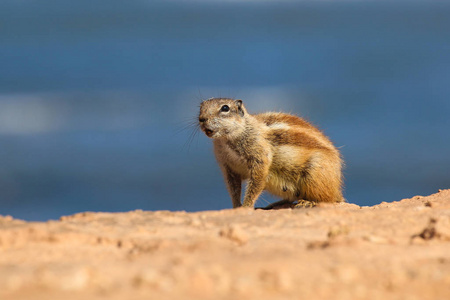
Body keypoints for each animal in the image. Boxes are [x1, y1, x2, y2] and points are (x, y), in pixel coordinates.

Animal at [199, 98, 342, 209]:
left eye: (225, 108)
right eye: (201, 106)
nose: (201, 119)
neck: (226, 140)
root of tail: (337, 189)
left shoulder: (259, 156)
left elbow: (256, 183)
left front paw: (246, 206)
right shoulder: (227, 167)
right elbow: (233, 188)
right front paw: (236, 207)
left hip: (315, 173)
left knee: (328, 199)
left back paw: (309, 202)